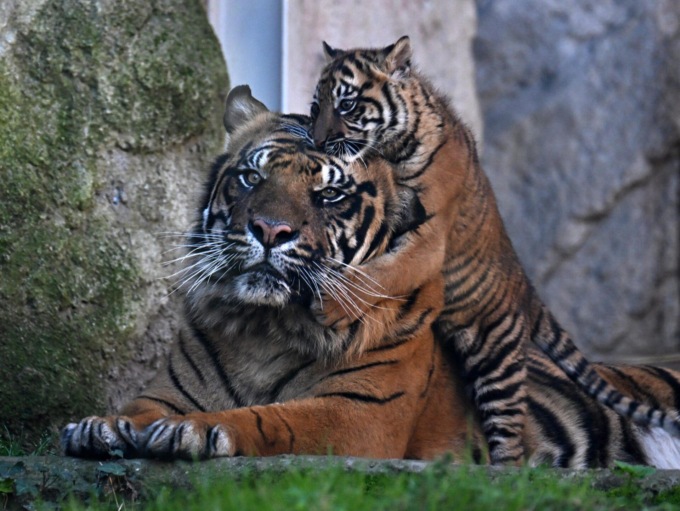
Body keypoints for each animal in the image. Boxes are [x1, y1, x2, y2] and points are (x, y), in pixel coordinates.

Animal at [309, 35, 680, 465]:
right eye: (315, 107)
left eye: (346, 104)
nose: (318, 142)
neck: (391, 150)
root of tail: (527, 289)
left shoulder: (429, 239)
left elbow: (385, 272)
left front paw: (334, 306)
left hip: (494, 358)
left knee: (512, 440)